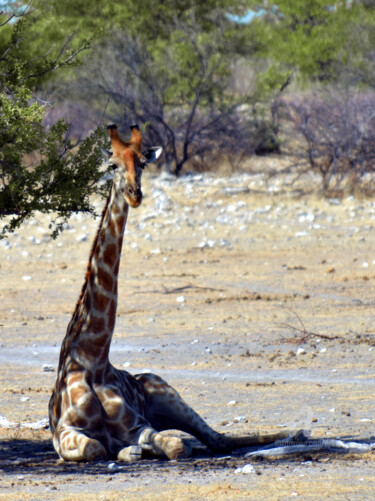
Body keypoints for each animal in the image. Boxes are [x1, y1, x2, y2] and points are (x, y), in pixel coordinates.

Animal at [49, 125, 290, 460]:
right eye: (112, 164)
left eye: (142, 163)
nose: (134, 194)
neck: (93, 360)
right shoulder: (63, 433)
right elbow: (97, 447)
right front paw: (127, 452)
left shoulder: (139, 426)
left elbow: (175, 445)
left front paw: (135, 450)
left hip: (164, 389)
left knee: (217, 438)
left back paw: (296, 433)